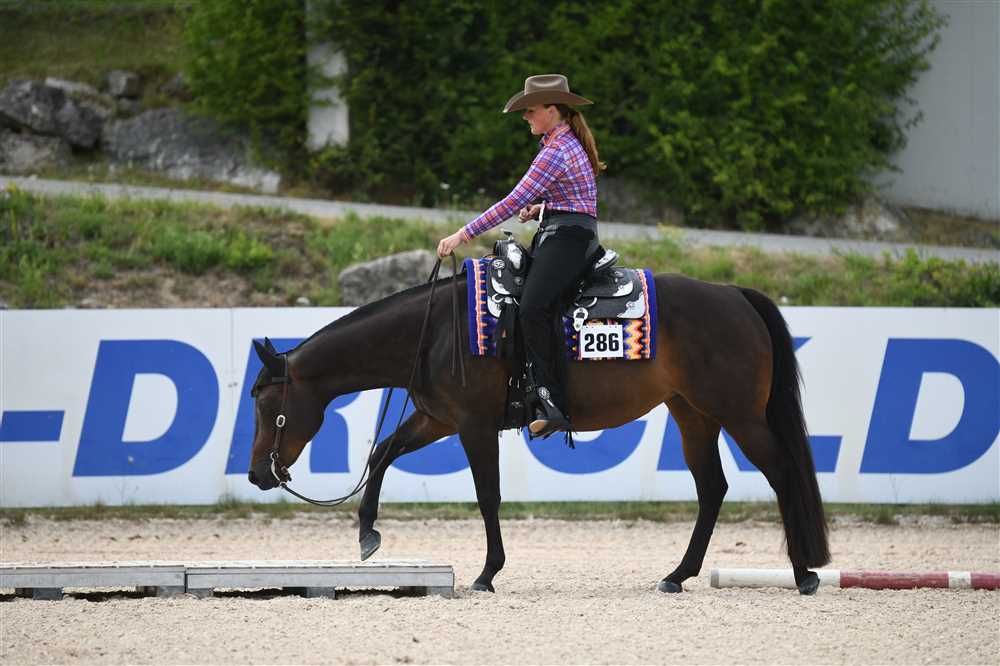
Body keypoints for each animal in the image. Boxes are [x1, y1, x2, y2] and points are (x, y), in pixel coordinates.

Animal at [246, 268, 830, 595]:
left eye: (267, 404)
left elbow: (487, 496)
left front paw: (487, 573)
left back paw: (804, 573)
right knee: (712, 488)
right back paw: (678, 574)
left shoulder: (474, 425)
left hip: (740, 415)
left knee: (782, 473)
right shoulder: (438, 418)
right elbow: (383, 453)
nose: (256, 475)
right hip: (693, 414)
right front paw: (368, 533)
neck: (436, 332)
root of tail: (734, 295)